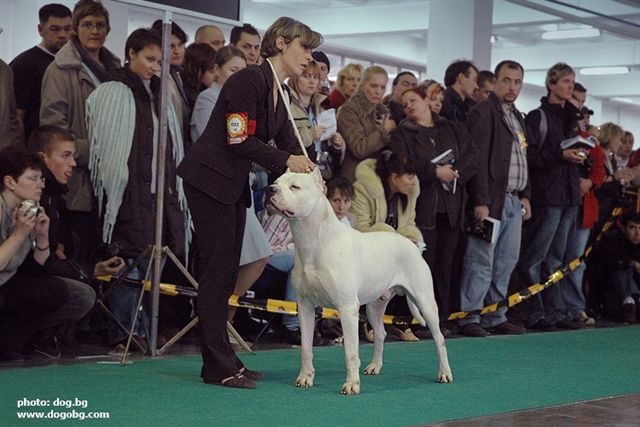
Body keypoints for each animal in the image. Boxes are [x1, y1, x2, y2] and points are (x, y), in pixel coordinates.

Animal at [268, 168, 452, 394]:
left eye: (295, 187)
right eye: (276, 182)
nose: (270, 189)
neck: (315, 240)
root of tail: (414, 246)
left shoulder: (347, 308)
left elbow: (350, 352)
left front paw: (351, 385)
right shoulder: (305, 307)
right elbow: (306, 347)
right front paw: (305, 377)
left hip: (425, 302)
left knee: (439, 339)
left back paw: (444, 373)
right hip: (374, 307)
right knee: (381, 333)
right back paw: (375, 366)